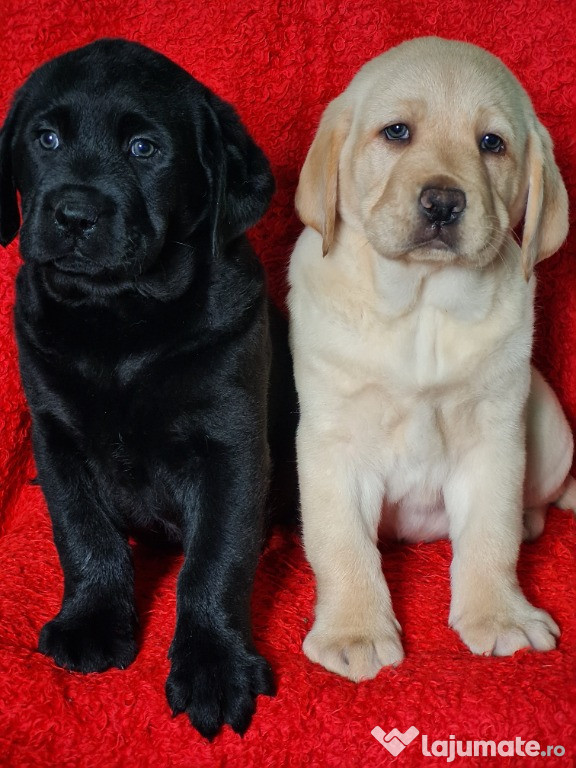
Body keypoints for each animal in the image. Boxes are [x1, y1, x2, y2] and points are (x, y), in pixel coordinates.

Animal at [0, 39, 290, 740]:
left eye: (144, 149)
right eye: (46, 138)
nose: (74, 214)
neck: (119, 319)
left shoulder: (231, 446)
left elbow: (216, 558)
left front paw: (214, 666)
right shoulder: (55, 436)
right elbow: (82, 532)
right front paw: (93, 620)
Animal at [290, 39, 572, 680]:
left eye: (491, 143)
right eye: (397, 132)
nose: (443, 202)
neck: (422, 308)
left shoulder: (495, 436)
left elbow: (492, 536)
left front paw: (499, 614)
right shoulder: (331, 442)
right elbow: (341, 543)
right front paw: (355, 629)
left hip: (549, 424)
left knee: (536, 505)